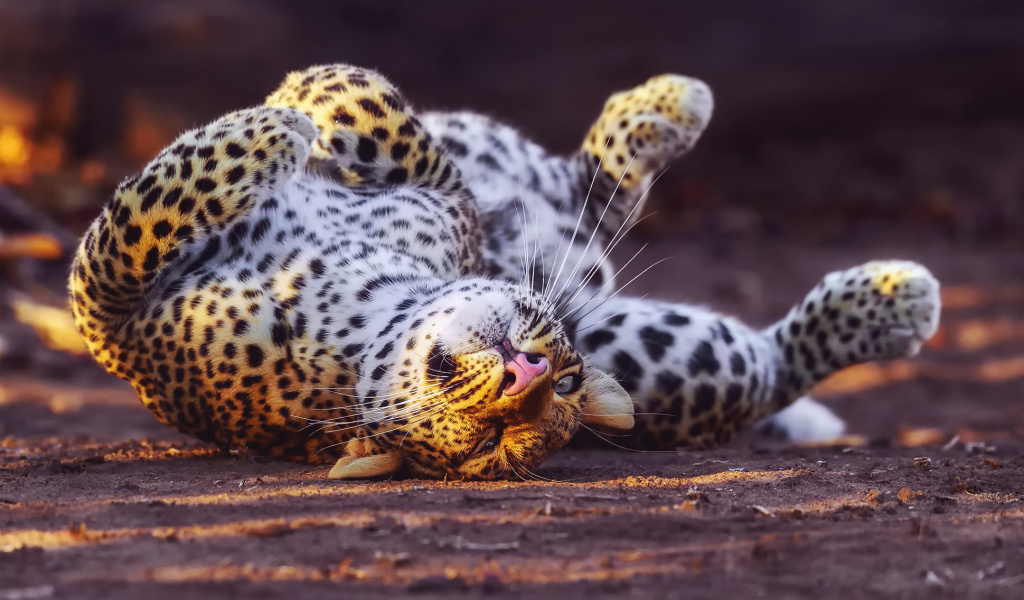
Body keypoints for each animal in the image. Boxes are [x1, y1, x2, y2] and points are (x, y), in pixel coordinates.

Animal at [68, 62, 937, 479]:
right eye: (497, 435)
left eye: (561, 387)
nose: (530, 373)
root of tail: (590, 282)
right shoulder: (116, 330)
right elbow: (132, 229)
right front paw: (283, 119)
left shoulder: (443, 201)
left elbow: (369, 105)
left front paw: (286, 114)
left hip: (651, 333)